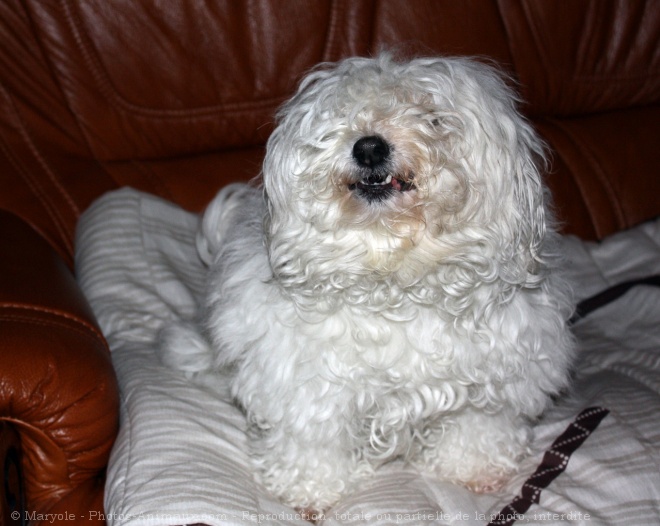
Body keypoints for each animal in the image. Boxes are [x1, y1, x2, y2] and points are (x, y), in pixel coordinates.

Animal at [160, 53, 572, 516]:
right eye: (344, 113)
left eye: (433, 117)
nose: (369, 146)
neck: (394, 272)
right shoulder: (304, 383)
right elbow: (311, 441)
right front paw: (310, 490)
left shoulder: (494, 378)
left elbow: (479, 426)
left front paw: (474, 468)